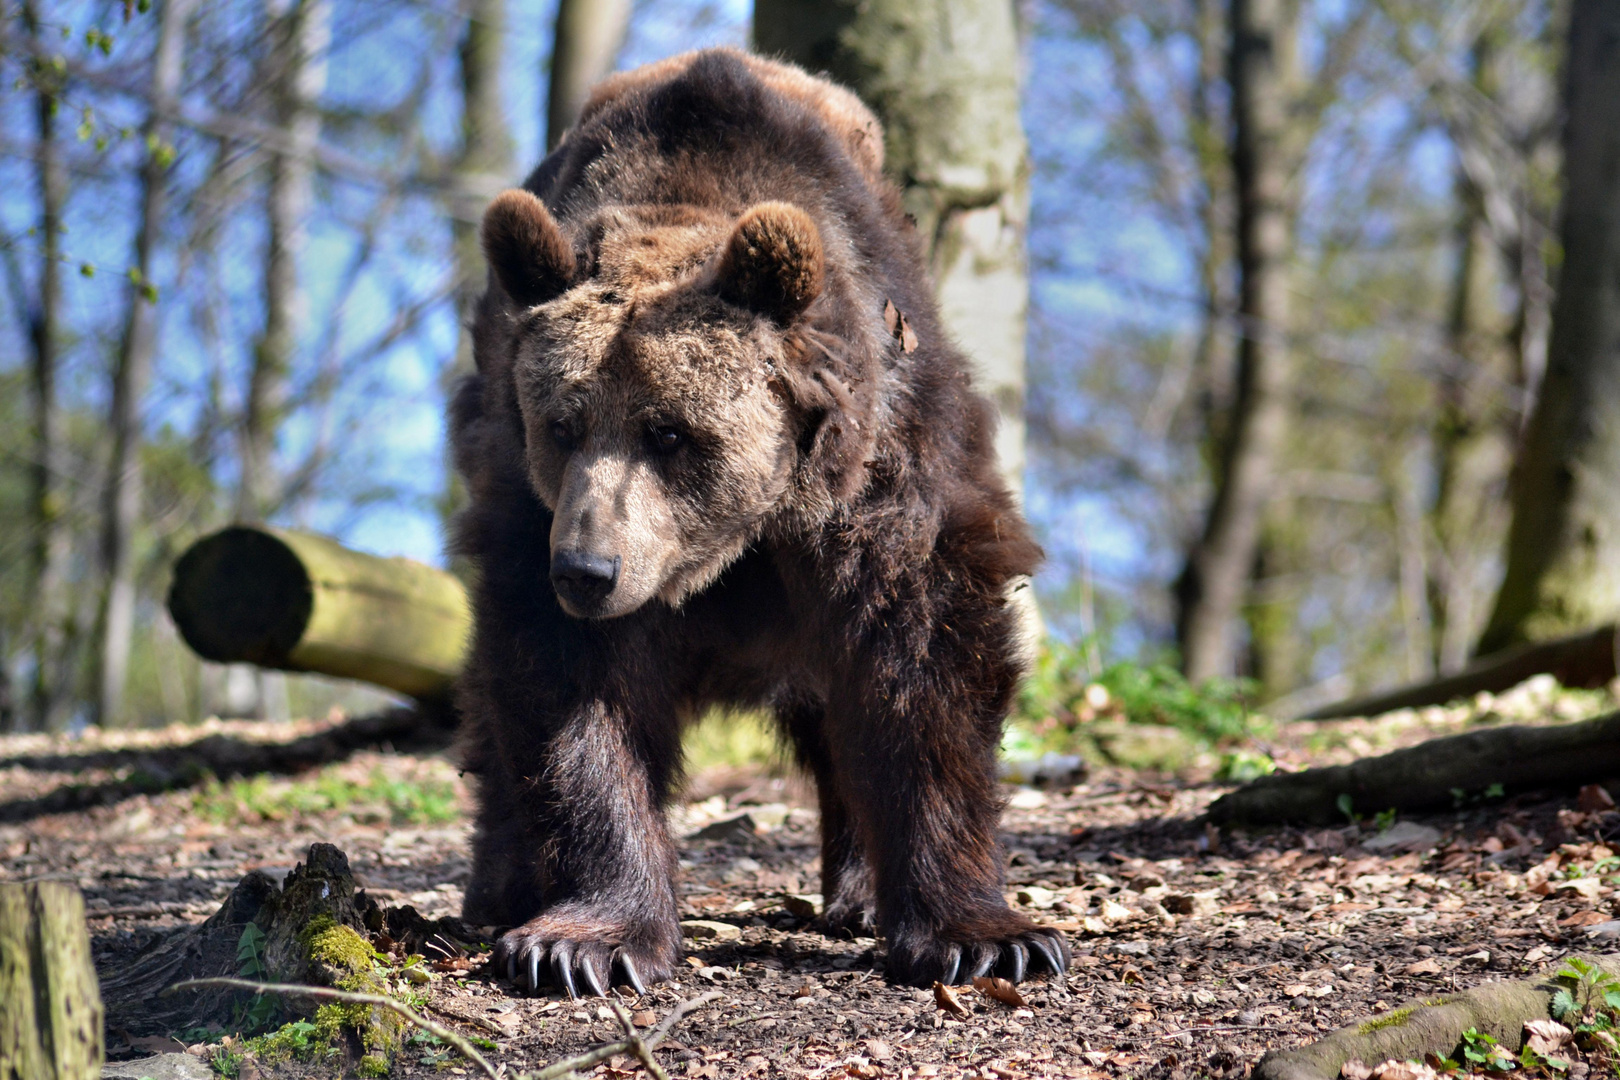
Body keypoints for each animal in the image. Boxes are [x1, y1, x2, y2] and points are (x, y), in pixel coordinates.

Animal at [450, 48, 1069, 997]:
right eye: (561, 424)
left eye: (669, 430)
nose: (587, 571)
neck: (733, 547)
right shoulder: (531, 517)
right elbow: (572, 696)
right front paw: (581, 942)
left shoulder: (877, 472)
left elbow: (920, 661)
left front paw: (985, 935)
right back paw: (500, 883)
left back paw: (858, 891)